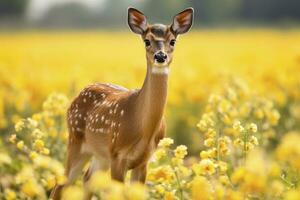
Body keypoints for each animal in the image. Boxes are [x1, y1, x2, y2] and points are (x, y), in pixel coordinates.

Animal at [50, 7, 193, 199]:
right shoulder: (118, 154)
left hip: (100, 155)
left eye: (173, 41)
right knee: (61, 185)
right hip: (76, 140)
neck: (143, 128)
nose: (160, 56)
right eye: (147, 41)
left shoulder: (143, 161)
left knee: (87, 179)